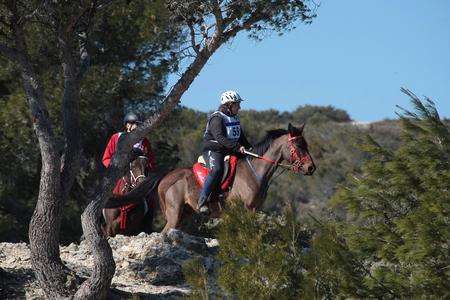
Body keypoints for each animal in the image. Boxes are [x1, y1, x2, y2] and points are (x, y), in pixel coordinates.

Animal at [156, 123, 314, 233]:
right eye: (299, 145)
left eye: (306, 144)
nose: (311, 168)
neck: (255, 172)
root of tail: (164, 179)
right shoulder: (244, 209)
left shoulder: (254, 209)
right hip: (174, 213)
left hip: (184, 214)